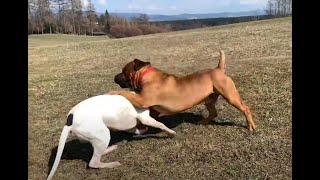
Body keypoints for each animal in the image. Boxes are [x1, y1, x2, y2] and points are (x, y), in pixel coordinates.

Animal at [46, 94, 176, 180]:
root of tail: (69, 121)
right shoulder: (145, 118)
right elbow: (161, 125)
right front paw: (171, 132)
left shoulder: (128, 125)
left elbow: (136, 130)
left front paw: (142, 130)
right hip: (103, 135)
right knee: (93, 162)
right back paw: (112, 164)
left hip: (99, 139)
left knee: (96, 153)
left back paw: (110, 149)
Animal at [109, 50, 256, 130]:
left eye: (123, 71)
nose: (114, 77)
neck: (147, 76)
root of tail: (219, 69)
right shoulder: (152, 107)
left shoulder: (142, 99)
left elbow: (125, 93)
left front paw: (112, 93)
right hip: (209, 100)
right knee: (213, 113)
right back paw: (203, 122)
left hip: (231, 96)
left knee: (245, 108)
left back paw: (251, 126)